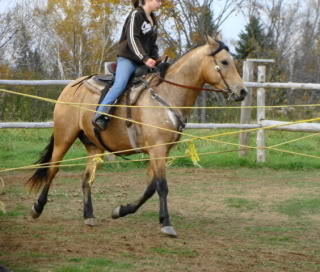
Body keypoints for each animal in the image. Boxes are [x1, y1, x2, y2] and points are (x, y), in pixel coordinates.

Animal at [27, 35, 248, 237]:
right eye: (224, 62)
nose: (242, 92)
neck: (167, 94)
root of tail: (71, 86)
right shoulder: (157, 150)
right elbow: (162, 186)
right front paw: (166, 223)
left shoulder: (160, 152)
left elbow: (150, 188)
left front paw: (121, 210)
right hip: (64, 137)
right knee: (53, 169)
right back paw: (37, 207)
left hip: (94, 146)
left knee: (86, 178)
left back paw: (89, 215)